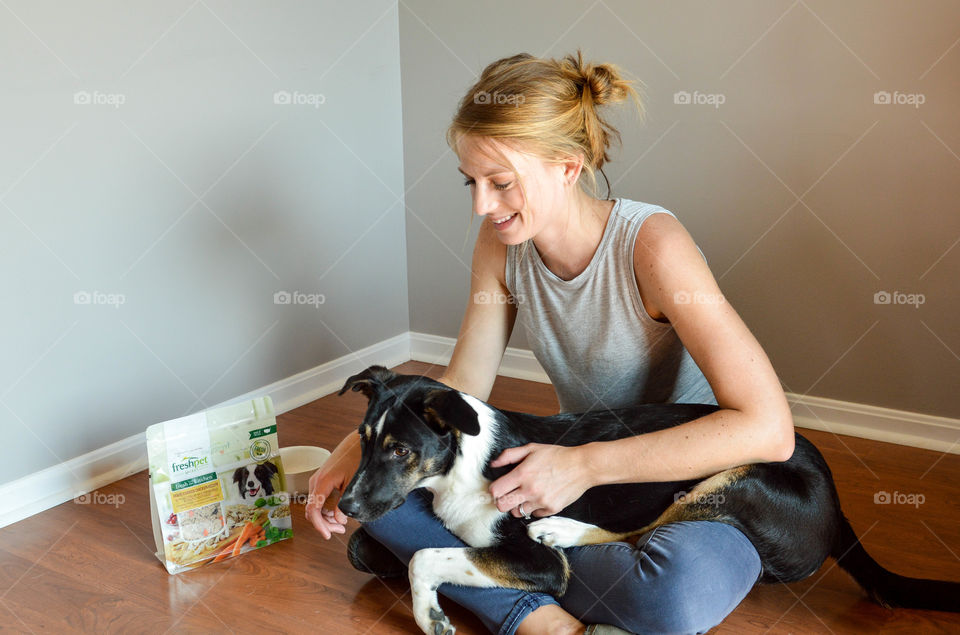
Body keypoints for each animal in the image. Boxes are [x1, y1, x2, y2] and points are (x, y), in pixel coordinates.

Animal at [334, 366, 956, 632]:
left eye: (400, 450)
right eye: (362, 440)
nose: (346, 509)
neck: (463, 466)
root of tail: (837, 503)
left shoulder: (540, 565)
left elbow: (424, 556)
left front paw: (428, 613)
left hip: (735, 478)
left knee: (648, 528)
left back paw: (566, 529)